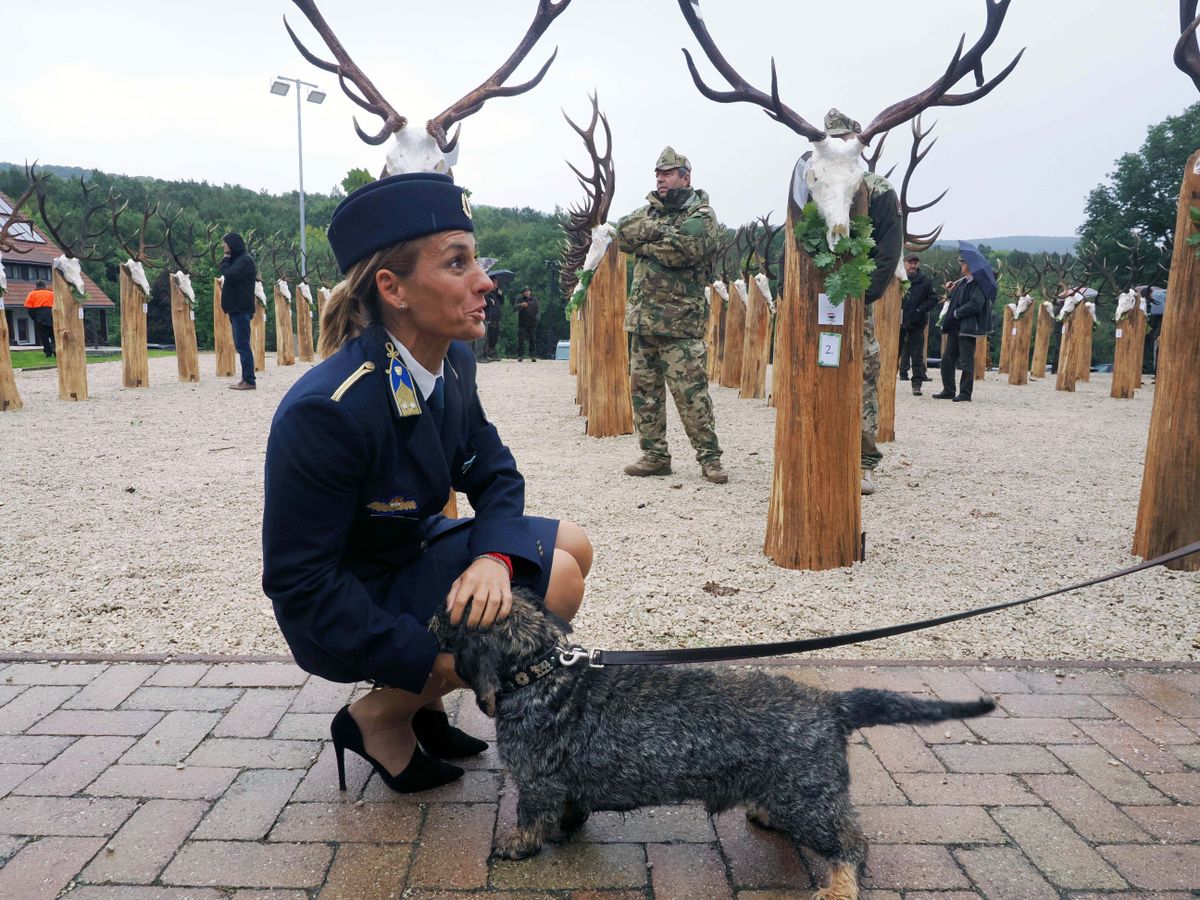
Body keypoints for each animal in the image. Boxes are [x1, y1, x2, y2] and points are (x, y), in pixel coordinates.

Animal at [432, 595, 993, 897]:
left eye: (450, 611)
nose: (430, 618)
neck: (543, 674)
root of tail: (832, 703)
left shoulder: (535, 782)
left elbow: (529, 817)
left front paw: (516, 845)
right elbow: (569, 809)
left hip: (810, 802)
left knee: (853, 846)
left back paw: (838, 887)